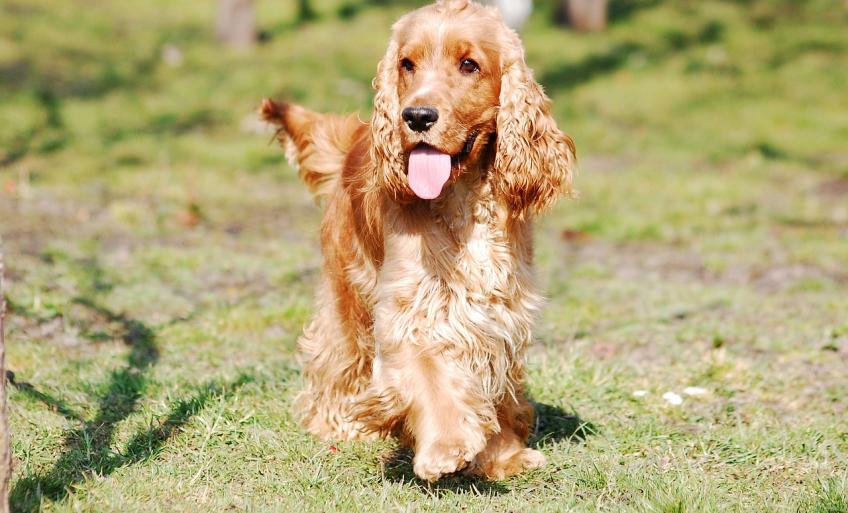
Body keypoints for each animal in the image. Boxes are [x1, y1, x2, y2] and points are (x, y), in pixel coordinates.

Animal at [260, 0, 576, 480]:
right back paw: (338, 423)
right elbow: (429, 372)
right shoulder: (411, 308)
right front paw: (445, 446)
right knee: (336, 352)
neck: (463, 199)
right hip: (348, 286)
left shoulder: (499, 311)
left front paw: (503, 454)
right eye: (407, 64)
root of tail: (357, 136)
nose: (417, 116)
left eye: (469, 65)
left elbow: (492, 380)